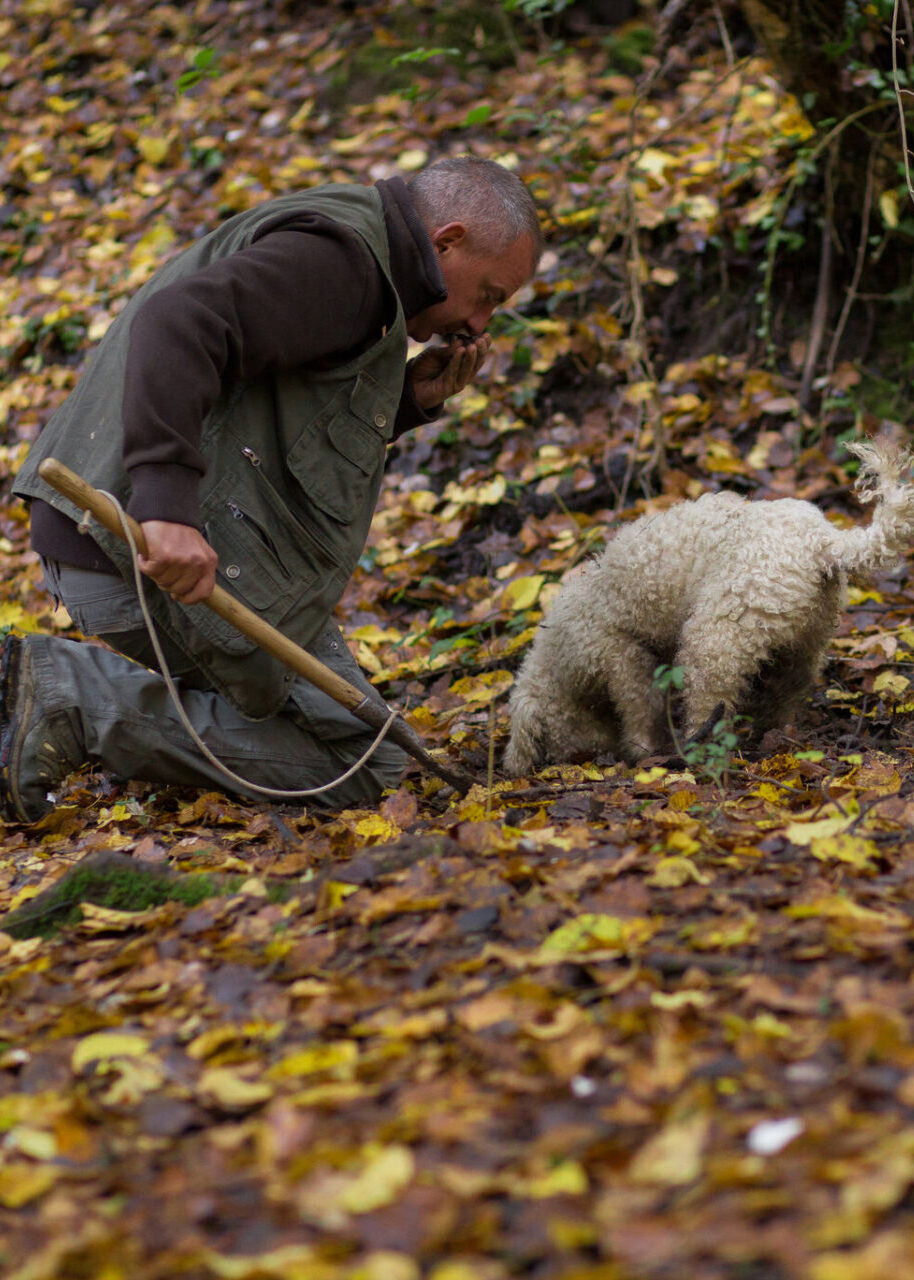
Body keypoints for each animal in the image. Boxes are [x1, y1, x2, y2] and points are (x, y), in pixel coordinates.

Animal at [501, 440, 911, 773]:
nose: (592, 758)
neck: (557, 657)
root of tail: (823, 543)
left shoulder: (620, 656)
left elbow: (639, 707)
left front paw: (640, 751)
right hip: (804, 637)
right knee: (789, 688)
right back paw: (768, 732)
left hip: (716, 636)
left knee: (710, 697)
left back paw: (696, 748)